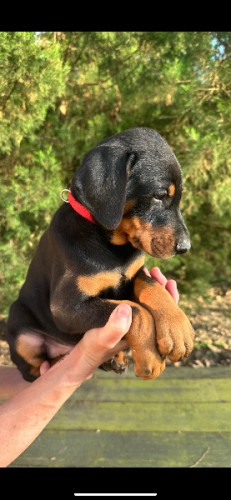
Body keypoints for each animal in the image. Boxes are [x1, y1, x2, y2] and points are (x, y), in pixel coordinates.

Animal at [6, 127, 195, 380]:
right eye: (159, 194)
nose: (185, 247)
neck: (112, 246)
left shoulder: (134, 272)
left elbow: (152, 285)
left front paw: (178, 328)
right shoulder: (67, 306)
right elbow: (135, 310)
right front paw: (151, 359)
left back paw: (113, 359)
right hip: (20, 329)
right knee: (34, 370)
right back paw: (60, 362)